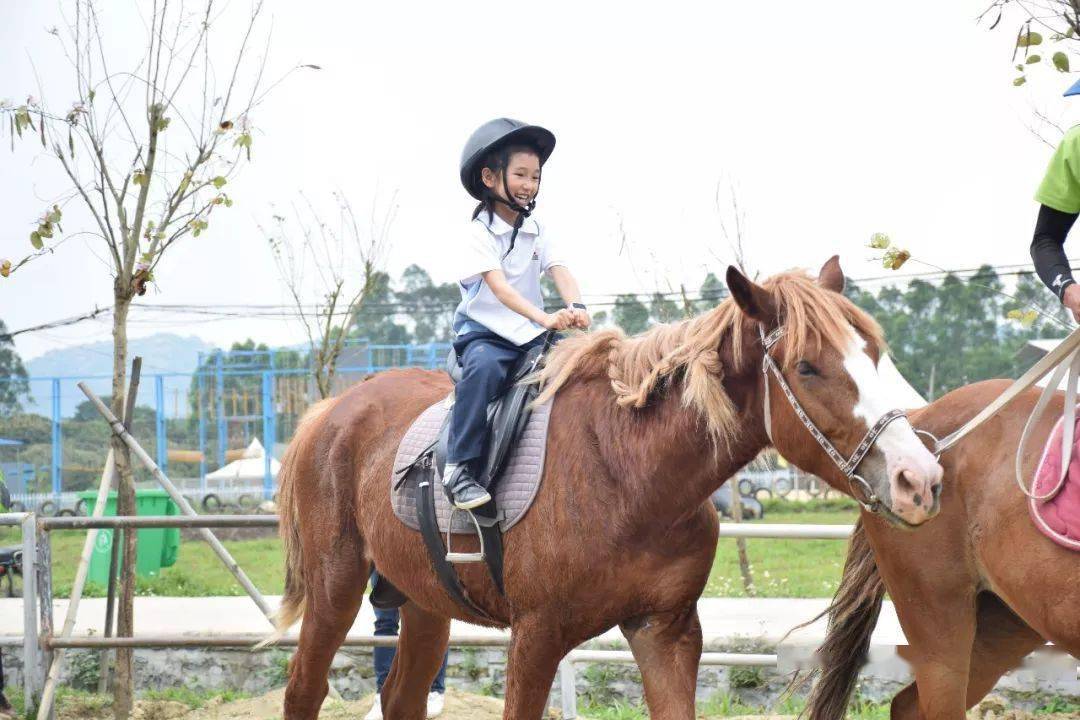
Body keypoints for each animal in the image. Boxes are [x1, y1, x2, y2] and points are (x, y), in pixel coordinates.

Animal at [274, 255, 941, 716]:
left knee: (401, 699)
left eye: (875, 353)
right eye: (807, 366)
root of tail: (331, 409)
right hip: (336, 588)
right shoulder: (535, 639)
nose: (921, 478)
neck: (628, 474)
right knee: (303, 691)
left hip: (423, 603)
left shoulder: (666, 633)